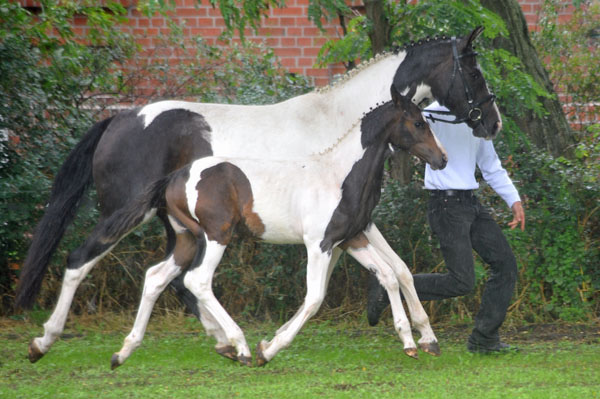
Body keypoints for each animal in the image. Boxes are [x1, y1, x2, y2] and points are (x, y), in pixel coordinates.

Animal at [106, 90, 446, 368]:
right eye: (418, 123)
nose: (442, 159)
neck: (339, 175)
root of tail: (175, 177)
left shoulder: (351, 238)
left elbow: (390, 274)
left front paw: (411, 342)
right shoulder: (319, 244)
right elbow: (315, 297)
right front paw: (267, 350)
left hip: (187, 239)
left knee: (156, 277)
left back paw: (123, 353)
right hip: (216, 236)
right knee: (197, 281)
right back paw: (240, 347)